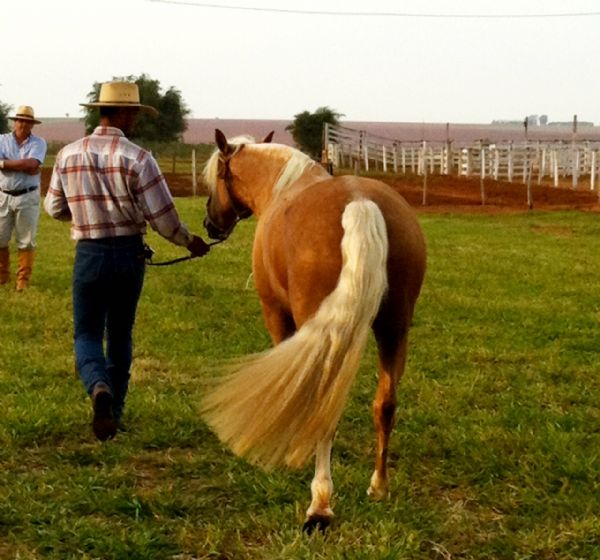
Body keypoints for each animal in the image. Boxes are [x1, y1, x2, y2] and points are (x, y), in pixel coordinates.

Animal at [202, 128, 426, 532]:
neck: (282, 186)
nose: (210, 223)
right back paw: (378, 487)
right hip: (394, 330)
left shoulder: (277, 315)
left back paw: (319, 505)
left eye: (217, 178)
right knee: (385, 404)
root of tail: (360, 203)